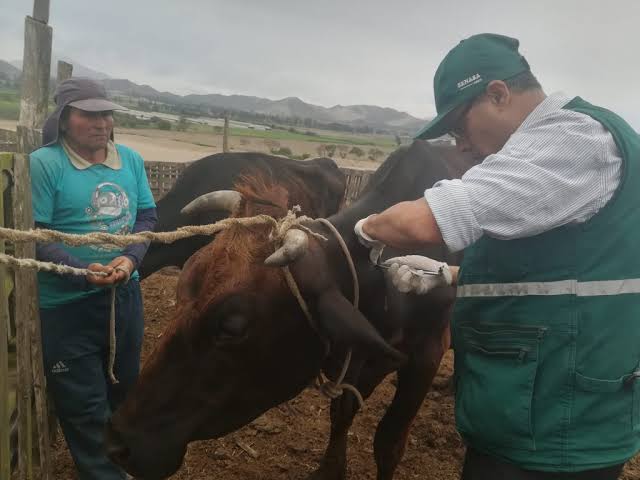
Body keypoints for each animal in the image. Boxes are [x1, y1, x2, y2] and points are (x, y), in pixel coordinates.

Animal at [105, 140, 476, 480]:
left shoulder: (428, 353)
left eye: (233, 327)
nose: (118, 442)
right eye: (182, 290)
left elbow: (388, 442)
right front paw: (330, 469)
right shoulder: (352, 353)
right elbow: (341, 412)